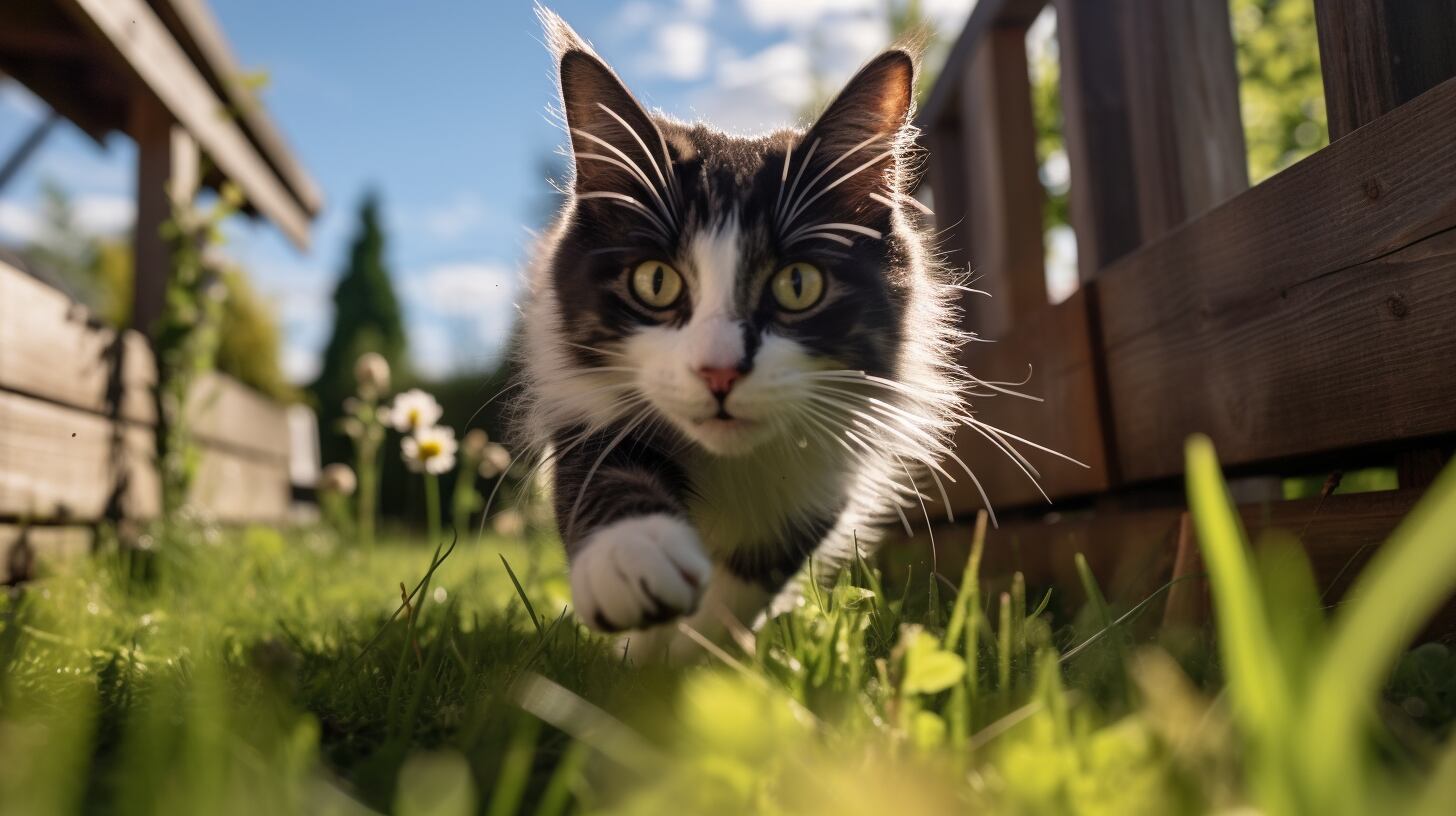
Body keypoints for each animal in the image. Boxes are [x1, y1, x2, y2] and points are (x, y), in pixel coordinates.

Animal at [518, 9, 984, 658]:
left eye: (798, 284)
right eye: (655, 281)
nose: (719, 371)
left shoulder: (826, 480)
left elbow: (751, 575)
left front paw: (697, 652)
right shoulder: (588, 402)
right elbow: (603, 471)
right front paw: (633, 564)